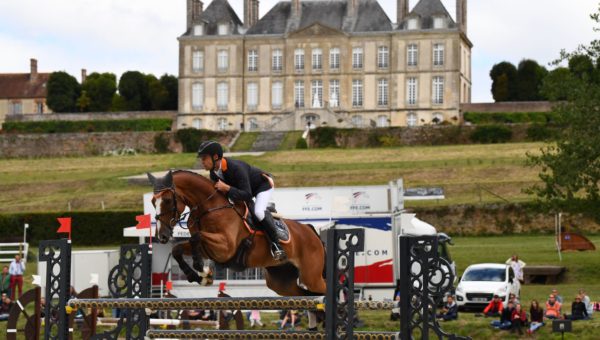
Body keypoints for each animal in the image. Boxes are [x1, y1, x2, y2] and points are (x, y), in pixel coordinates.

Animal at [145, 170, 326, 298]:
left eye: (168, 200)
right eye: (153, 202)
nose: (162, 236)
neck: (209, 207)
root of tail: (310, 230)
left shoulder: (225, 247)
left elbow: (197, 237)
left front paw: (202, 269)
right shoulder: (211, 250)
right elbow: (178, 249)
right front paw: (199, 277)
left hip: (311, 276)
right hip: (281, 282)